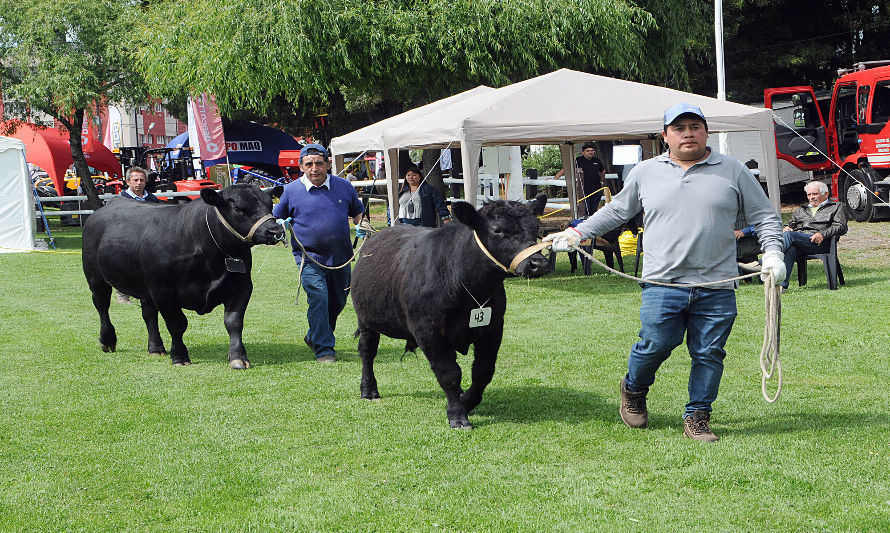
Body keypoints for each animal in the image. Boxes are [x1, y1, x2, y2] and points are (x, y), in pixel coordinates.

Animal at [80, 185, 282, 368]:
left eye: (269, 205)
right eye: (239, 208)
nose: (275, 231)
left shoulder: (242, 287)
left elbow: (234, 322)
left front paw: (238, 357)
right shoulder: (163, 292)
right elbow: (177, 324)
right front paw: (179, 356)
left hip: (145, 288)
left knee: (149, 314)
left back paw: (156, 348)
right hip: (96, 278)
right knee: (102, 306)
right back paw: (107, 340)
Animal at [348, 196, 548, 428]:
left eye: (535, 228)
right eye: (497, 230)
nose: (538, 263)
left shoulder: (493, 328)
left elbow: (483, 371)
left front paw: (466, 400)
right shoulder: (428, 331)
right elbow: (449, 373)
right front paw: (458, 415)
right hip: (365, 319)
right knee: (367, 352)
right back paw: (369, 390)